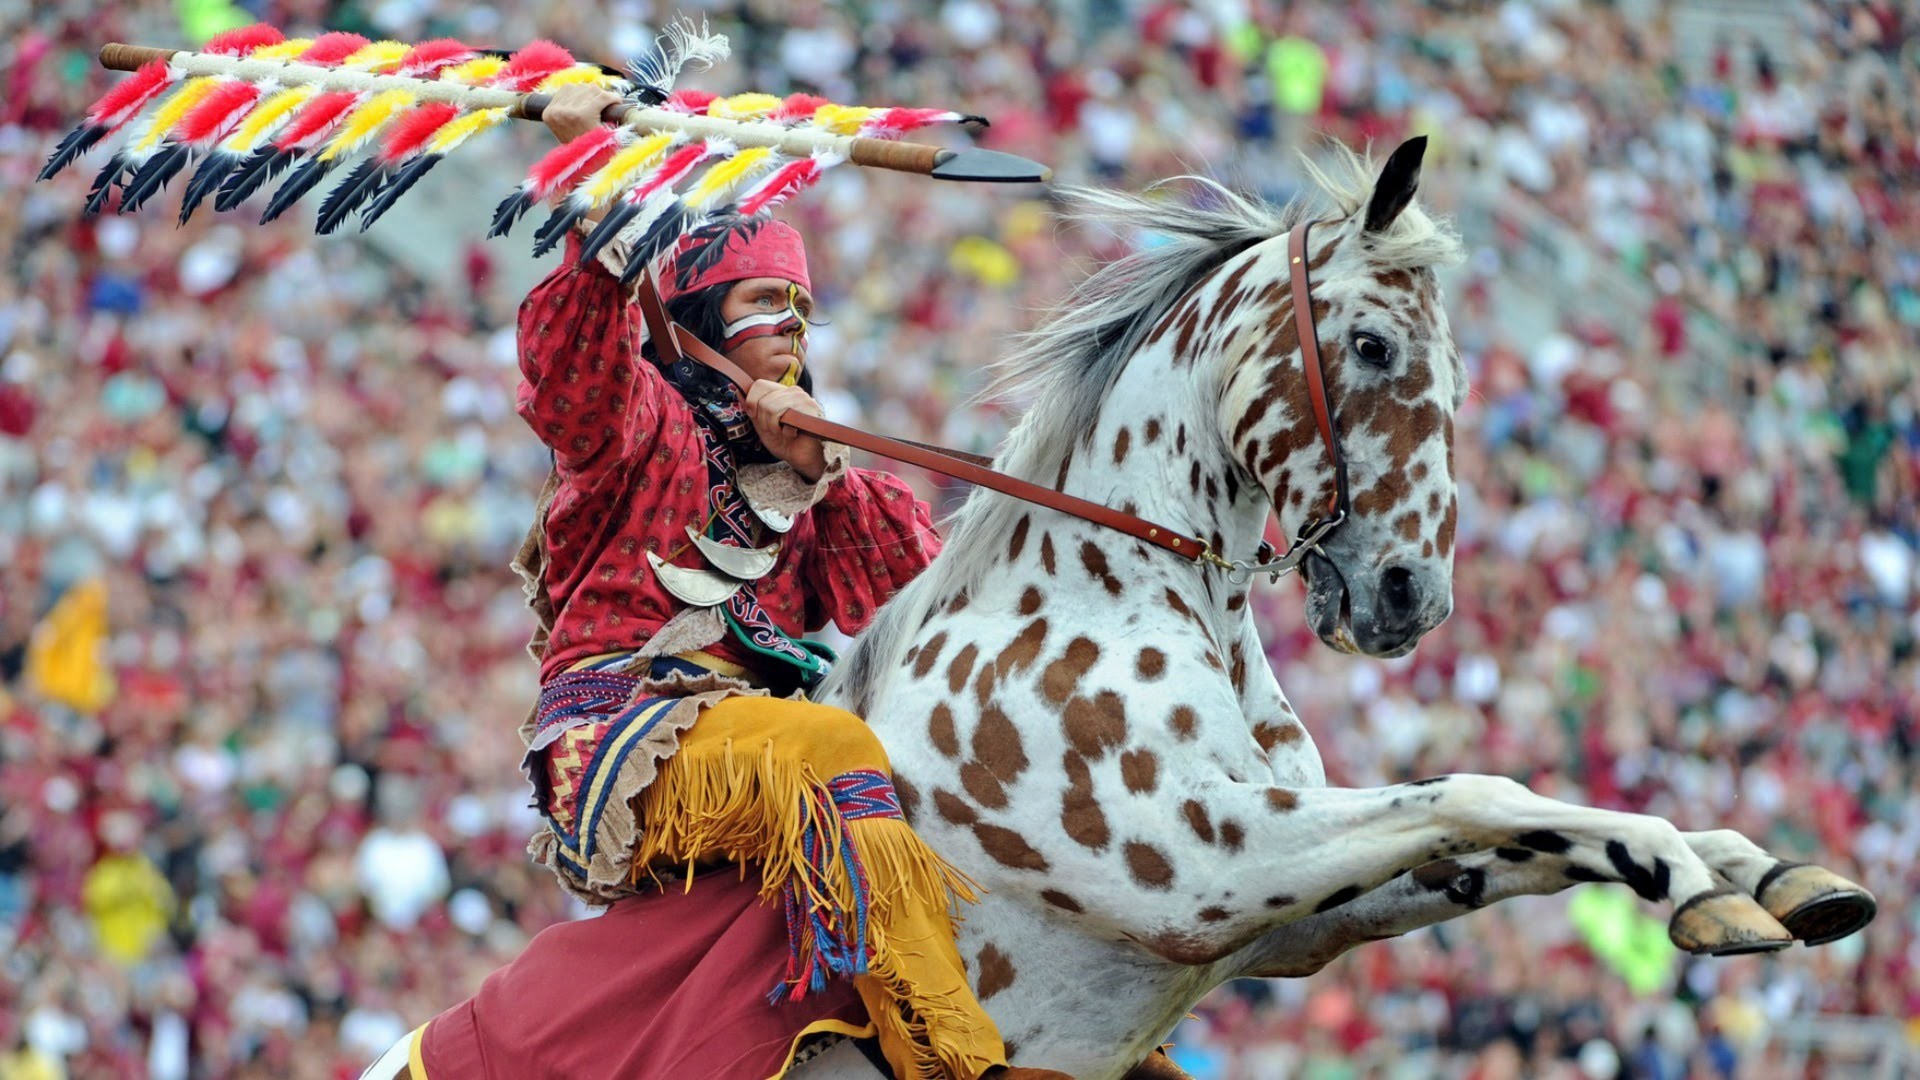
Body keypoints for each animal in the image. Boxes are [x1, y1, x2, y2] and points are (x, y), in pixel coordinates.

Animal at [798, 138, 1873, 1068]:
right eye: (1370, 344)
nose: (1414, 596)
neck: (1087, 590)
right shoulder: (1202, 869)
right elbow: (1486, 794)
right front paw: (1695, 885)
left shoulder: (1290, 919)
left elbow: (1513, 836)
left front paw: (1761, 871)